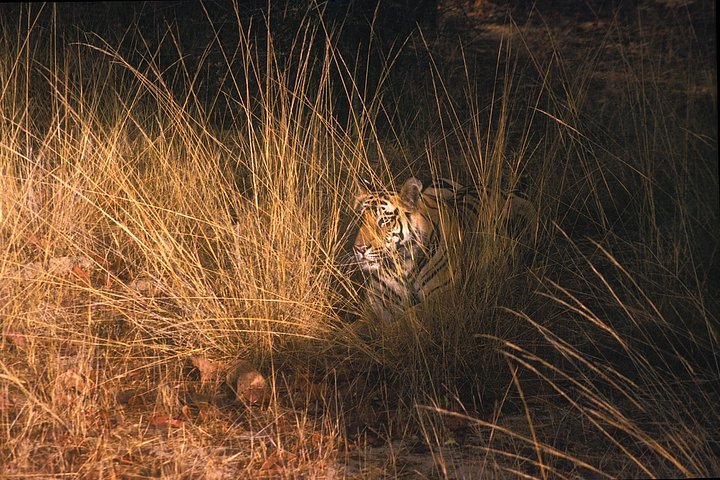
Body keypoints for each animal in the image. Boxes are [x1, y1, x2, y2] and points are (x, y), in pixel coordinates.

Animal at [351, 176, 537, 322]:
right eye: (360, 218)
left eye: (384, 221)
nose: (359, 248)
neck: (400, 266)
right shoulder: (378, 306)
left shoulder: (439, 299)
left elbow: (400, 325)